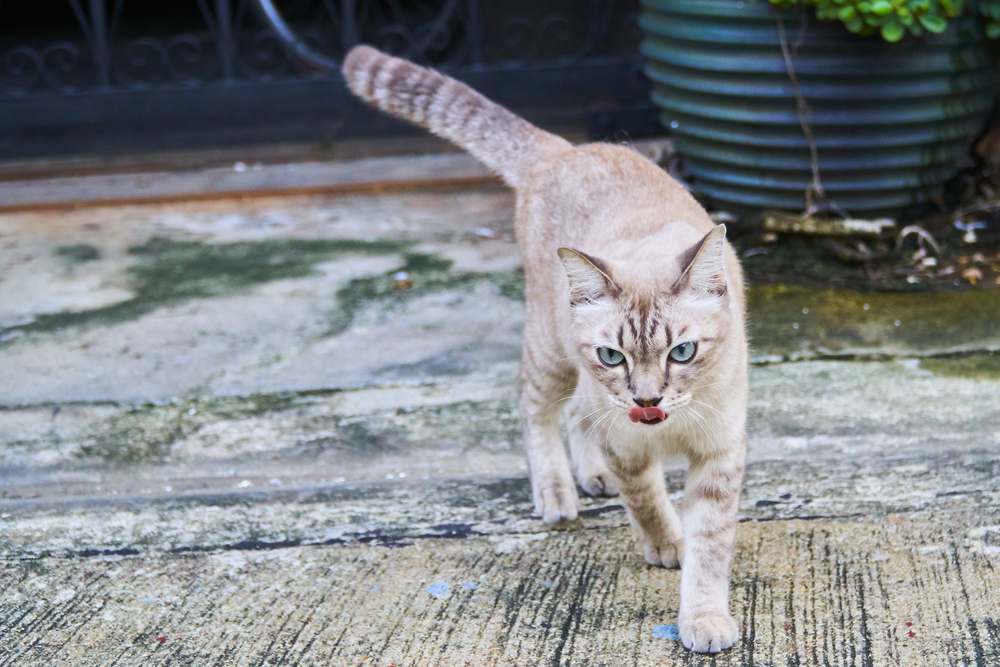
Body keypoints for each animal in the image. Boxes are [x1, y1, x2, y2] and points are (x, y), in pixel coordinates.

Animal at [346, 48, 752, 656]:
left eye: (682, 352)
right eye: (614, 356)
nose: (647, 401)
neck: (666, 431)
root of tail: (563, 148)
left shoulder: (718, 455)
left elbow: (710, 549)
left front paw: (703, 619)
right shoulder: (626, 441)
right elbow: (648, 503)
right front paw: (665, 545)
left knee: (578, 415)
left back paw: (591, 477)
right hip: (552, 352)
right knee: (537, 410)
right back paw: (557, 493)